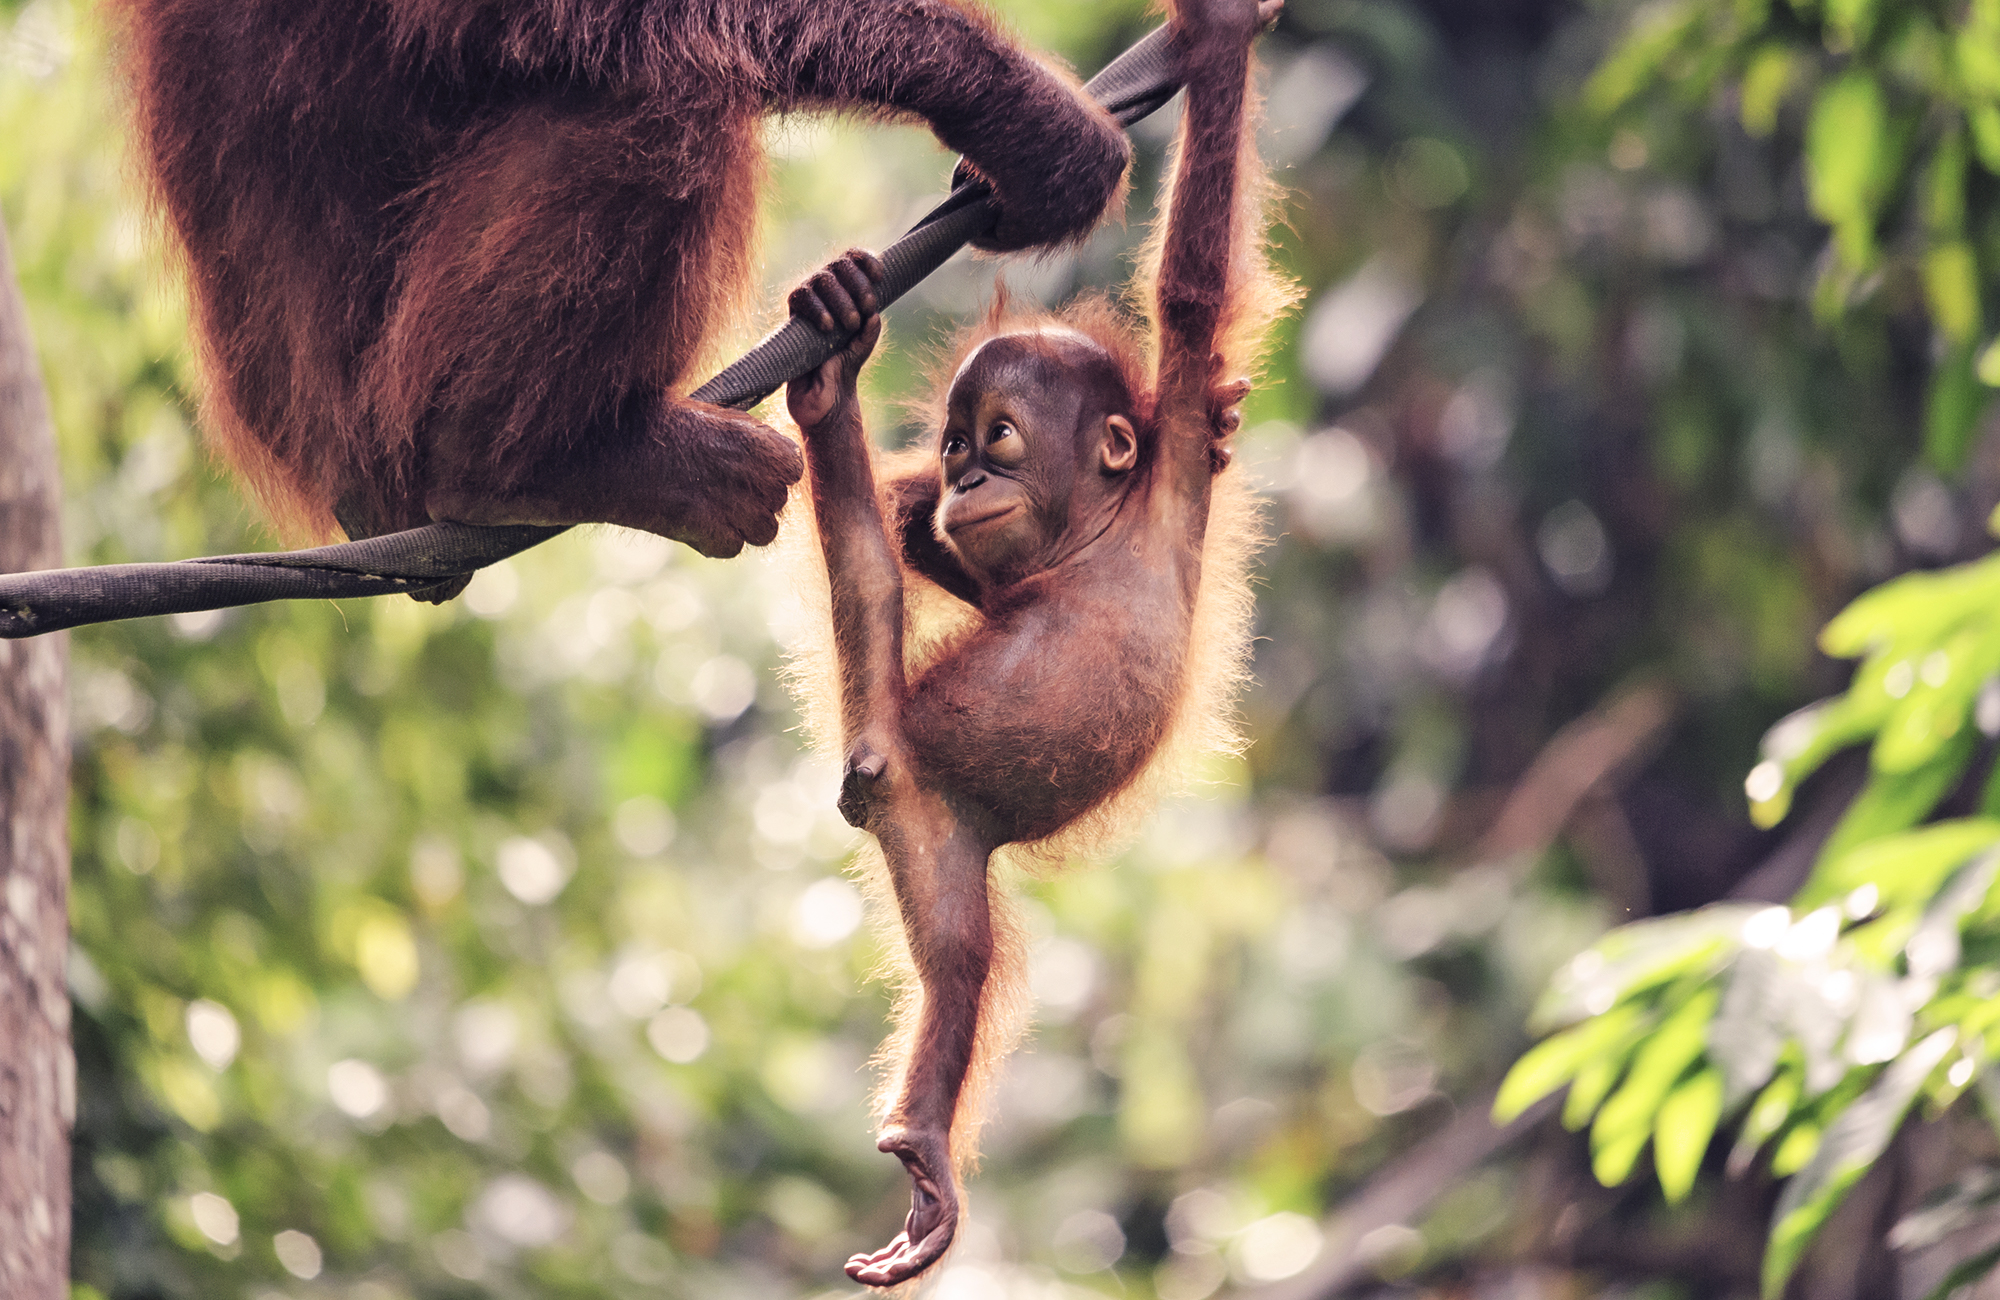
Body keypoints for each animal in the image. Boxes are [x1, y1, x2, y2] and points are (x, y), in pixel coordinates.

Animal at [779, 0, 1290, 1282]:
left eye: (996, 440)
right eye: (956, 444)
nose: (964, 478)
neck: (1096, 538)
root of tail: (887, 763)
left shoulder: (1165, 467)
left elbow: (1190, 302)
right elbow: (1190, 284)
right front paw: (1216, 36)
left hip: (932, 841)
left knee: (958, 970)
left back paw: (922, 1145)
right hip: (909, 780)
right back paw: (824, 393)